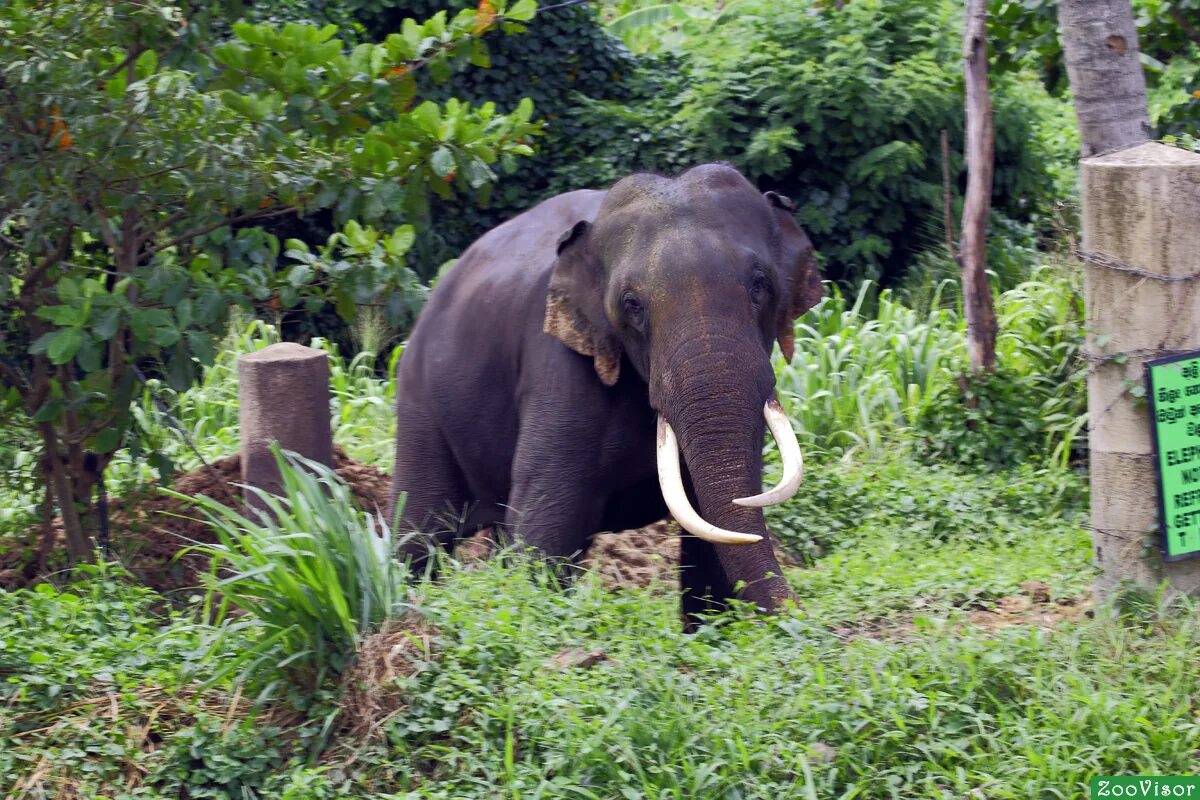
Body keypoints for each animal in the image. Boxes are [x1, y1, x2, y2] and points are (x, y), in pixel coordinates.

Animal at [393, 163, 825, 623]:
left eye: (760, 285)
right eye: (632, 304)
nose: (803, 617)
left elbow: (714, 539)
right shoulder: (560, 364)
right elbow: (546, 531)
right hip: (420, 404)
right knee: (419, 535)